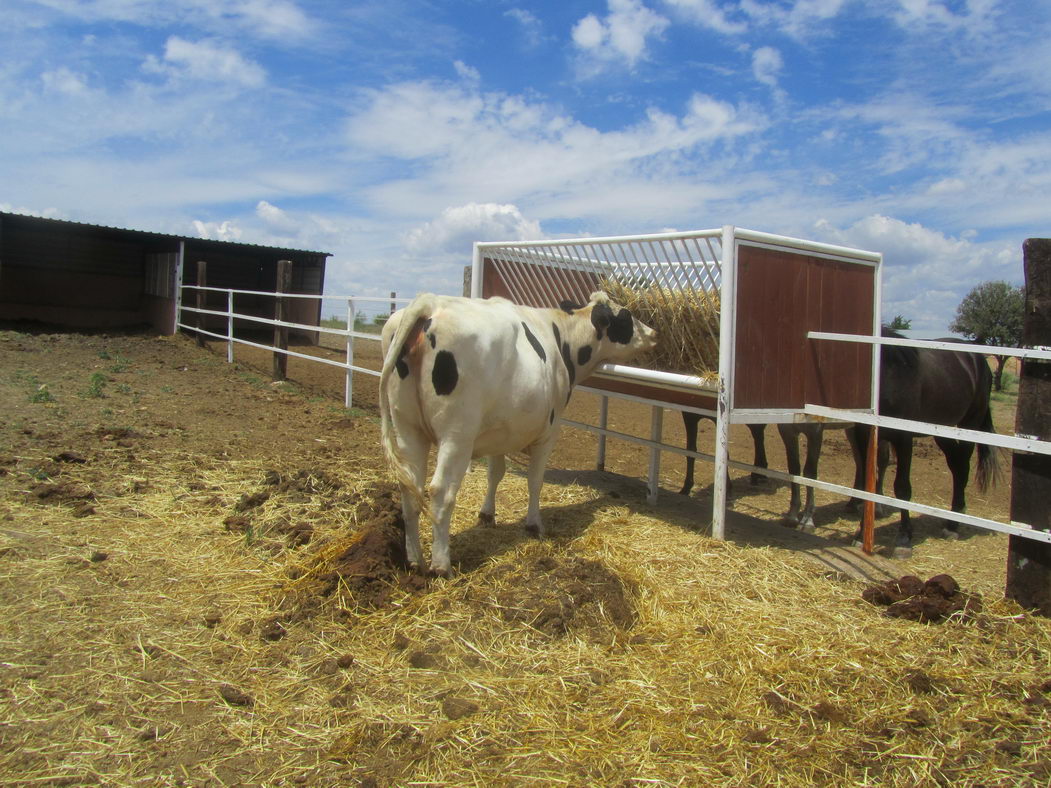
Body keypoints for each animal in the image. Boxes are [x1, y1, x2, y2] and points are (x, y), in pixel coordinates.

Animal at [378, 294, 655, 575]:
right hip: (456, 435)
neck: (560, 336)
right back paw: (441, 565)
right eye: (626, 315)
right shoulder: (548, 433)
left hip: (408, 429)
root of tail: (430, 302)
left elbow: (495, 473)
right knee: (440, 491)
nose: (653, 333)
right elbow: (535, 481)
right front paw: (534, 524)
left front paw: (487, 514)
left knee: (410, 488)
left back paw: (415, 560)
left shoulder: (499, 431)